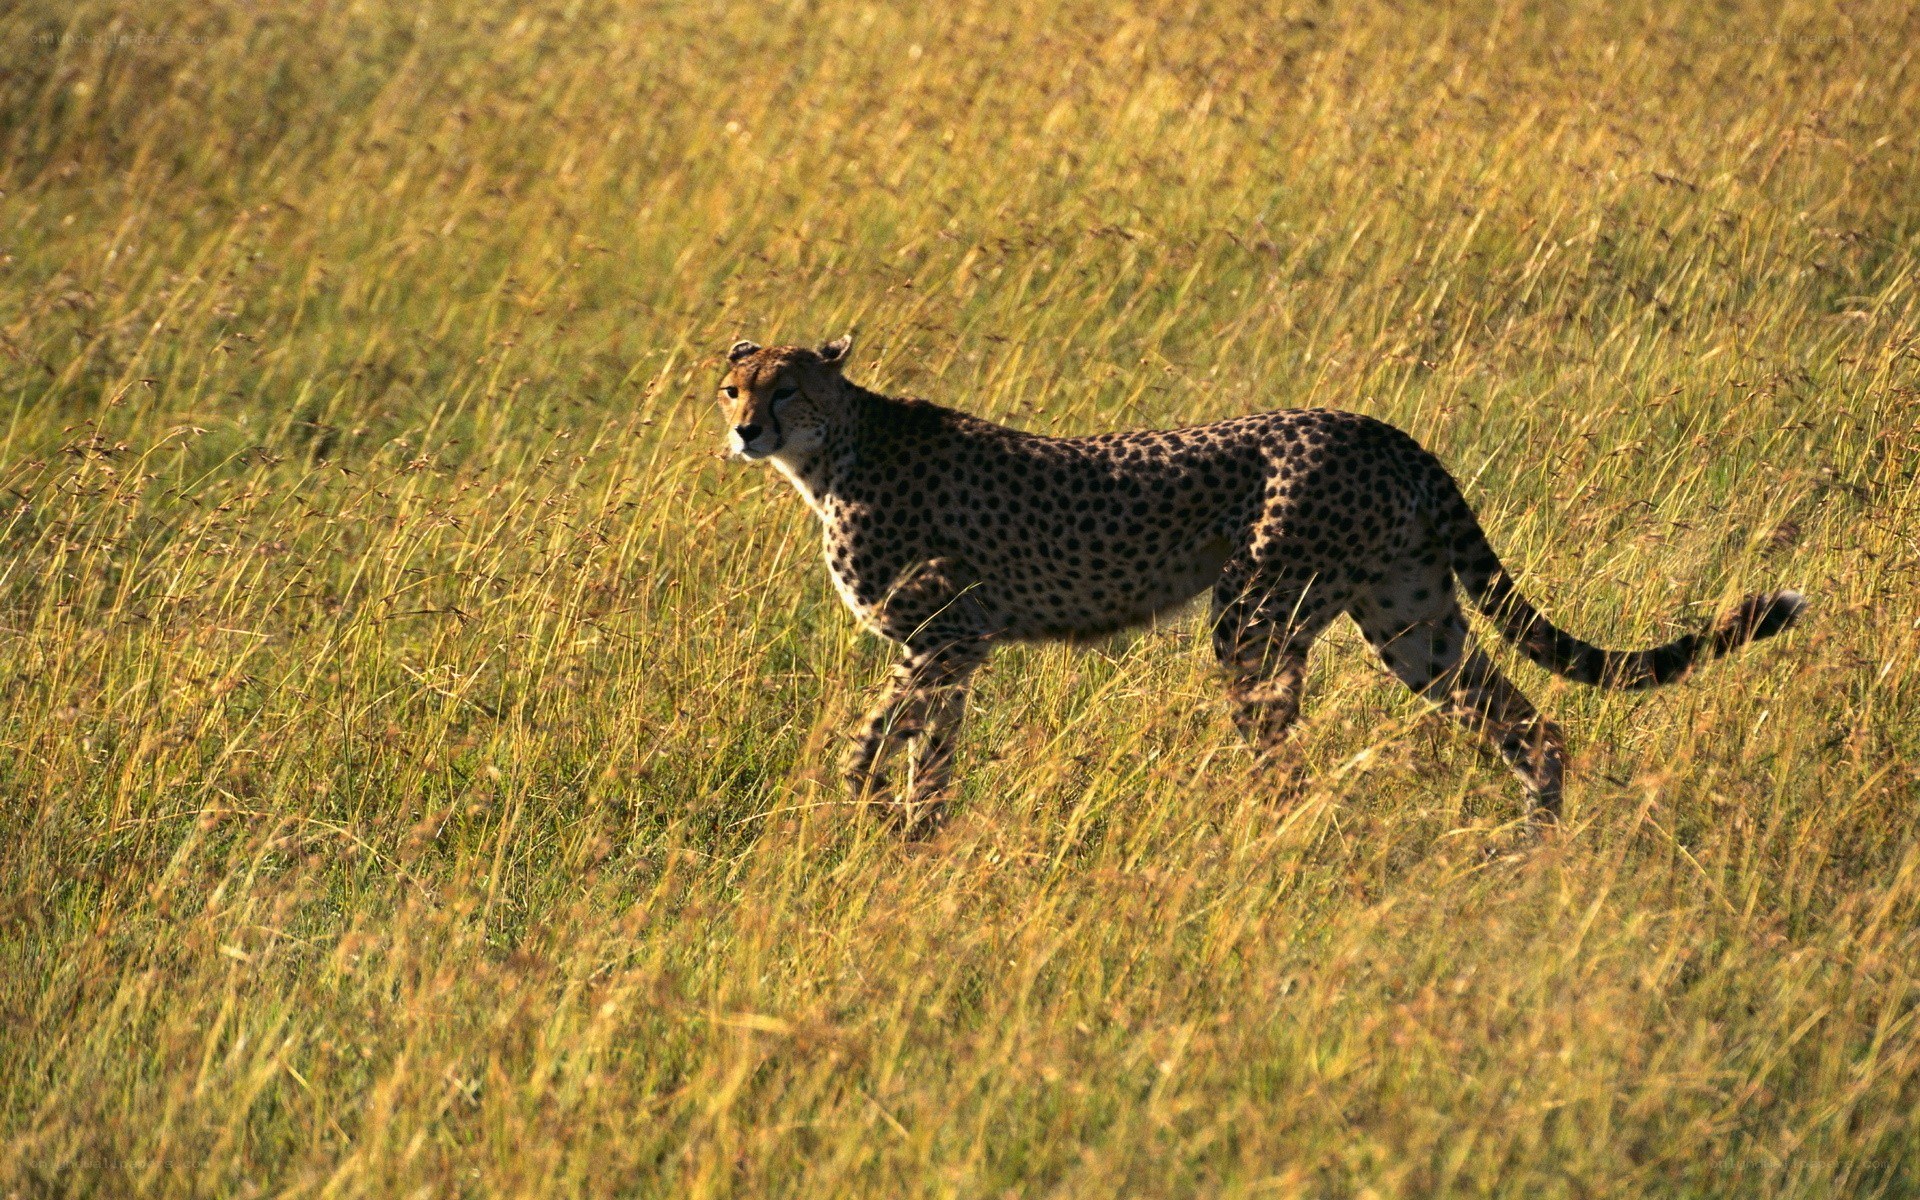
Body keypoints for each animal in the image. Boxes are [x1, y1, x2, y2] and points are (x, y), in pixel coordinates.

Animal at [717, 334, 1806, 834]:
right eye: (733, 385)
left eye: (790, 388)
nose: (743, 430)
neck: (835, 451)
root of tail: (1380, 427)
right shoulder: (951, 647)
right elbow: (927, 746)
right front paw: (914, 833)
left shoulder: (952, 630)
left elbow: (885, 721)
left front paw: (864, 799)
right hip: (1411, 620)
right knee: (1531, 725)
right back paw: (1531, 847)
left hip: (1257, 615)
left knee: (1285, 757)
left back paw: (1261, 840)